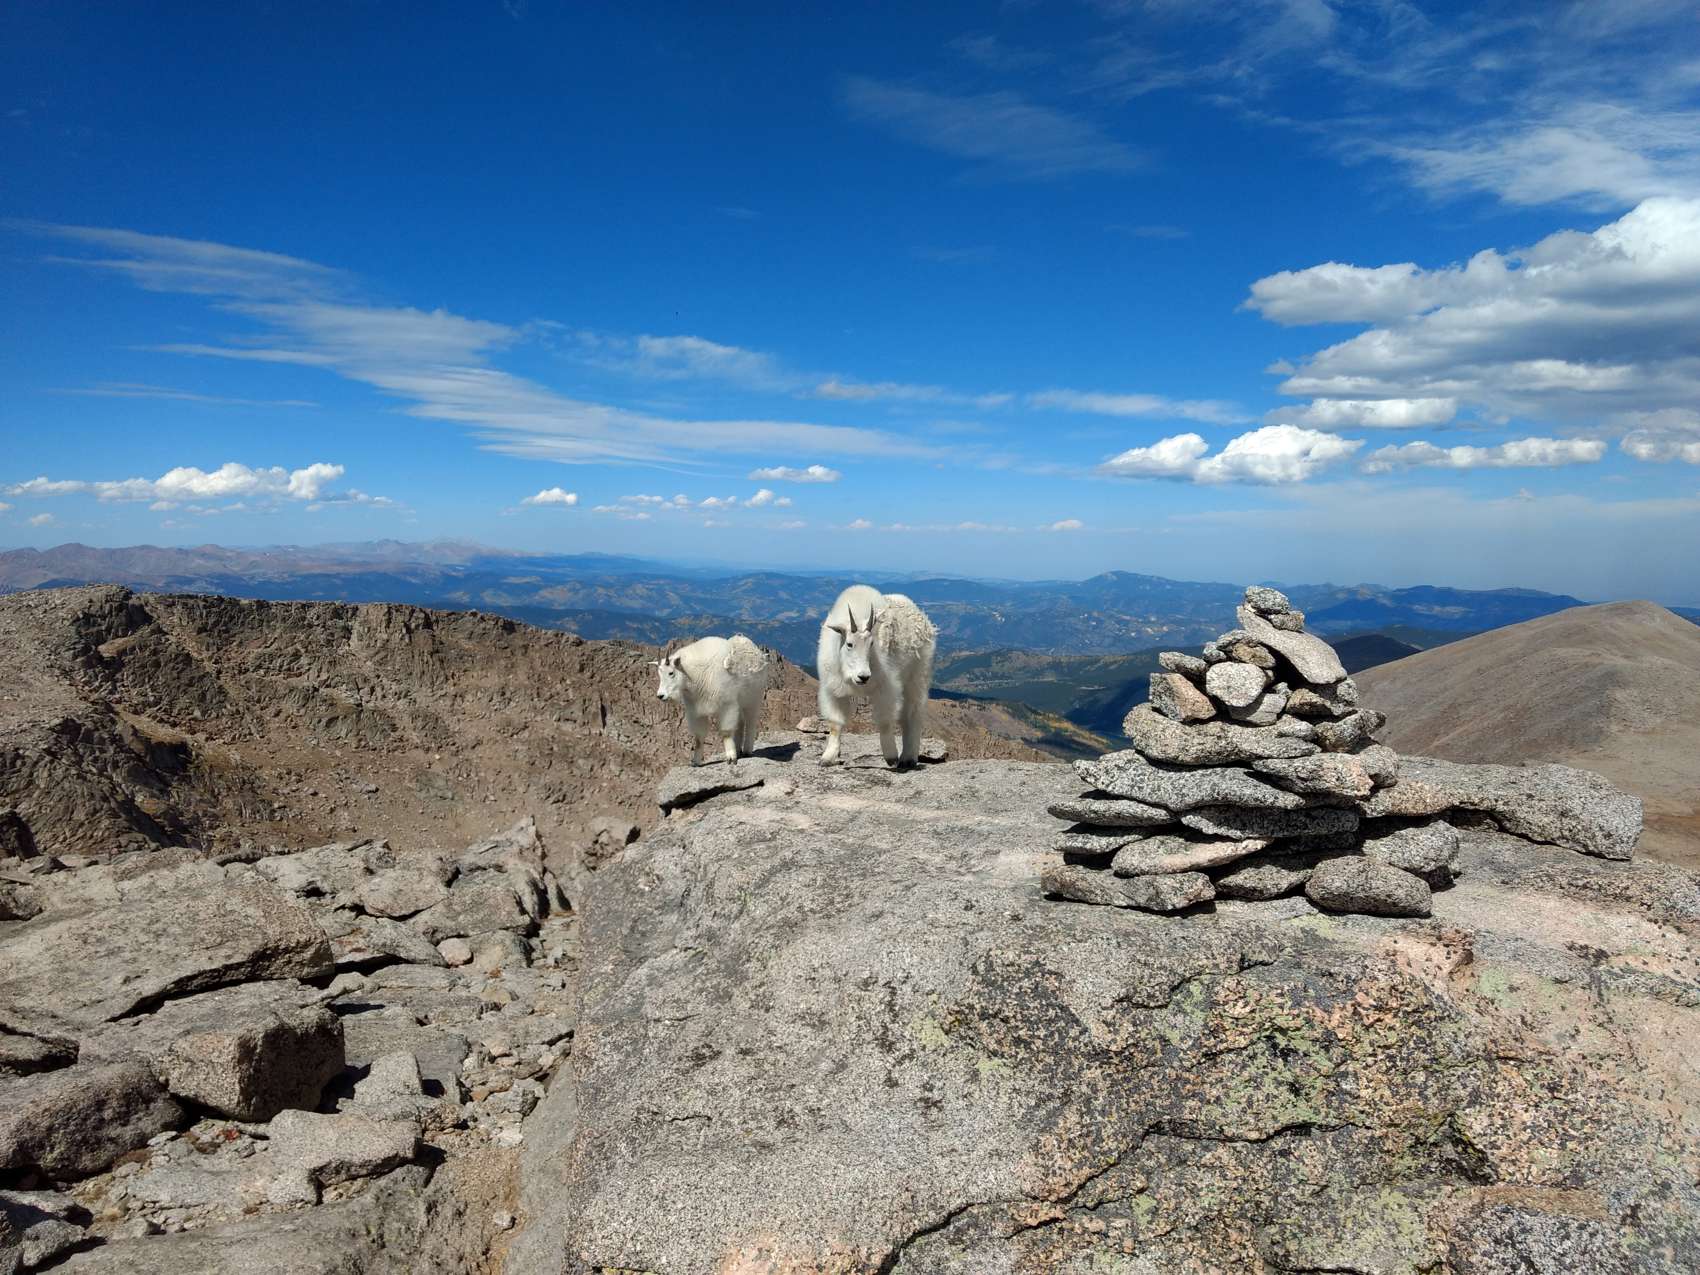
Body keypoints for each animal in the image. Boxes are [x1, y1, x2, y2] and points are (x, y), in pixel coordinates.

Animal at [653, 635, 771, 766]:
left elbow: (726, 732)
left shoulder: (727, 705)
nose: (660, 695)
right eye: (659, 675)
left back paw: (747, 751)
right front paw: (696, 762)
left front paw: (731, 758)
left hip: (754, 698)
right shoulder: (696, 712)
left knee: (751, 721)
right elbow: (699, 737)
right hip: (740, 703)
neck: (695, 675)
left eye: (671, 673)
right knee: (740, 723)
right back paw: (738, 750)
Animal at [816, 584, 938, 768]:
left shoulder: (886, 689)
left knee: (913, 712)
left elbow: (885, 721)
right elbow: (836, 723)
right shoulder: (833, 690)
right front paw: (827, 758)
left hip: (918, 674)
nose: (863, 676)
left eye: (872, 643)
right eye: (849, 644)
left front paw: (891, 757)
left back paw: (908, 758)